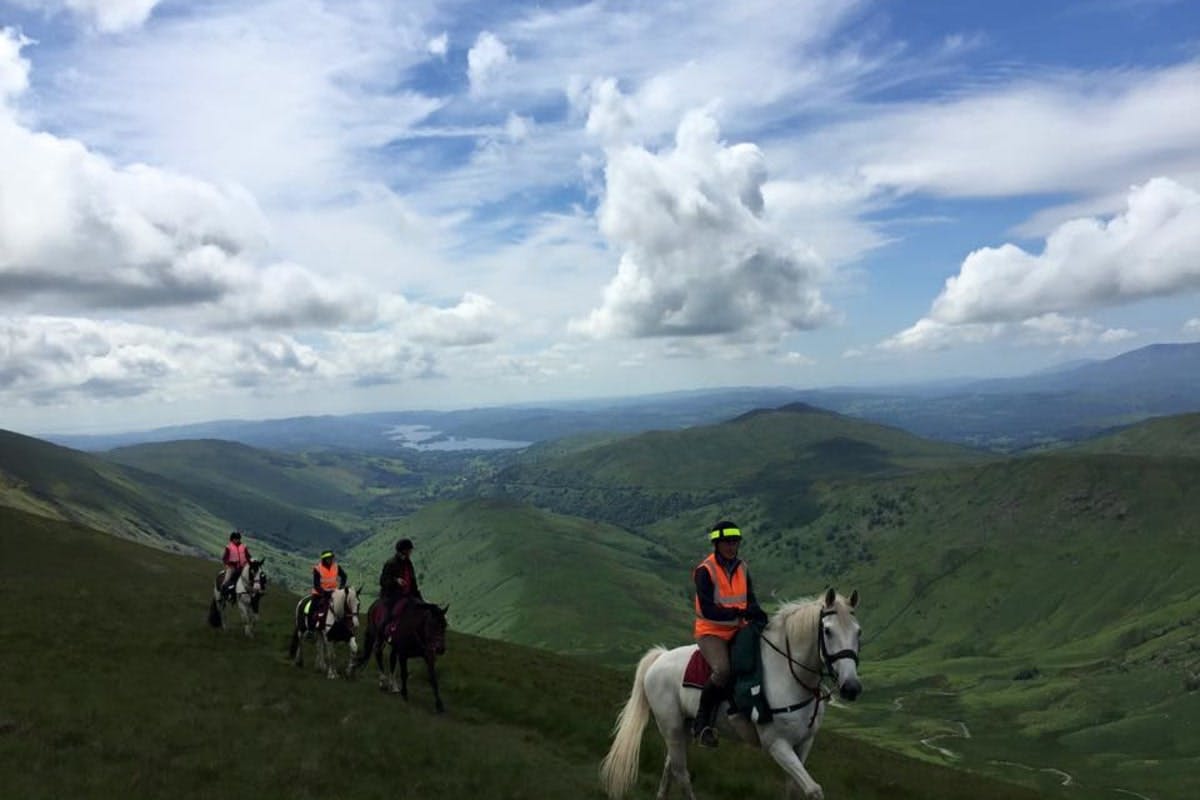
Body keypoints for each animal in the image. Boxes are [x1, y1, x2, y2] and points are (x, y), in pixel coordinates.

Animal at [604, 587, 859, 800]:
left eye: (859, 632)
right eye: (827, 631)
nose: (851, 688)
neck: (788, 674)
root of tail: (660, 657)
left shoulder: (804, 744)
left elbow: (795, 790)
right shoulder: (777, 744)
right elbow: (814, 790)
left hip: (684, 727)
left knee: (670, 767)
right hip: (671, 726)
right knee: (681, 773)